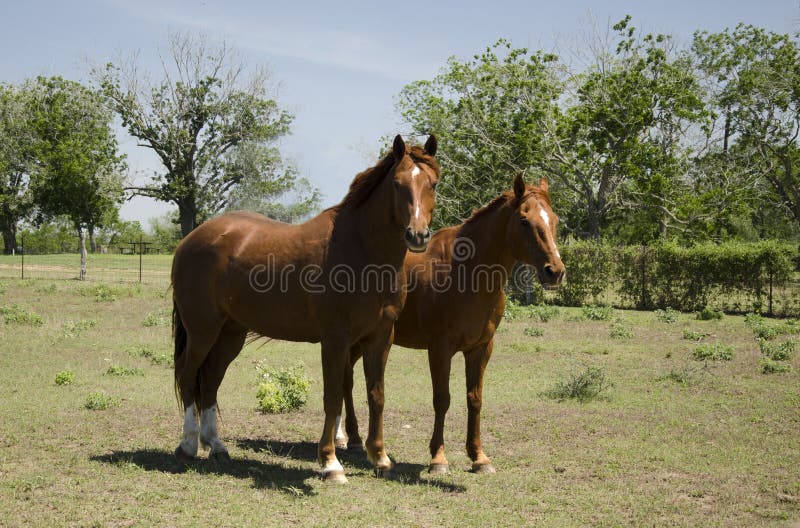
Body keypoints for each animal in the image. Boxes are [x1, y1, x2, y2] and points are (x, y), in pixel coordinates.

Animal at [171, 134, 440, 483]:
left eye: (433, 183)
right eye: (397, 184)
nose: (417, 235)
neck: (360, 251)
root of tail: (191, 240)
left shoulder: (381, 337)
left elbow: (376, 395)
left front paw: (379, 458)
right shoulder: (335, 339)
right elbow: (333, 397)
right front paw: (330, 462)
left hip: (231, 333)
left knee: (211, 380)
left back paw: (216, 446)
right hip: (202, 329)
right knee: (188, 374)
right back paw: (188, 445)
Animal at [337, 173, 565, 473]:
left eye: (555, 220)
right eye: (525, 221)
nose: (555, 271)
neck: (466, 270)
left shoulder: (481, 349)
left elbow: (475, 399)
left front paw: (479, 457)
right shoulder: (440, 349)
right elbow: (442, 399)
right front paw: (438, 458)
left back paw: (351, 437)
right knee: (346, 381)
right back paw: (350, 438)